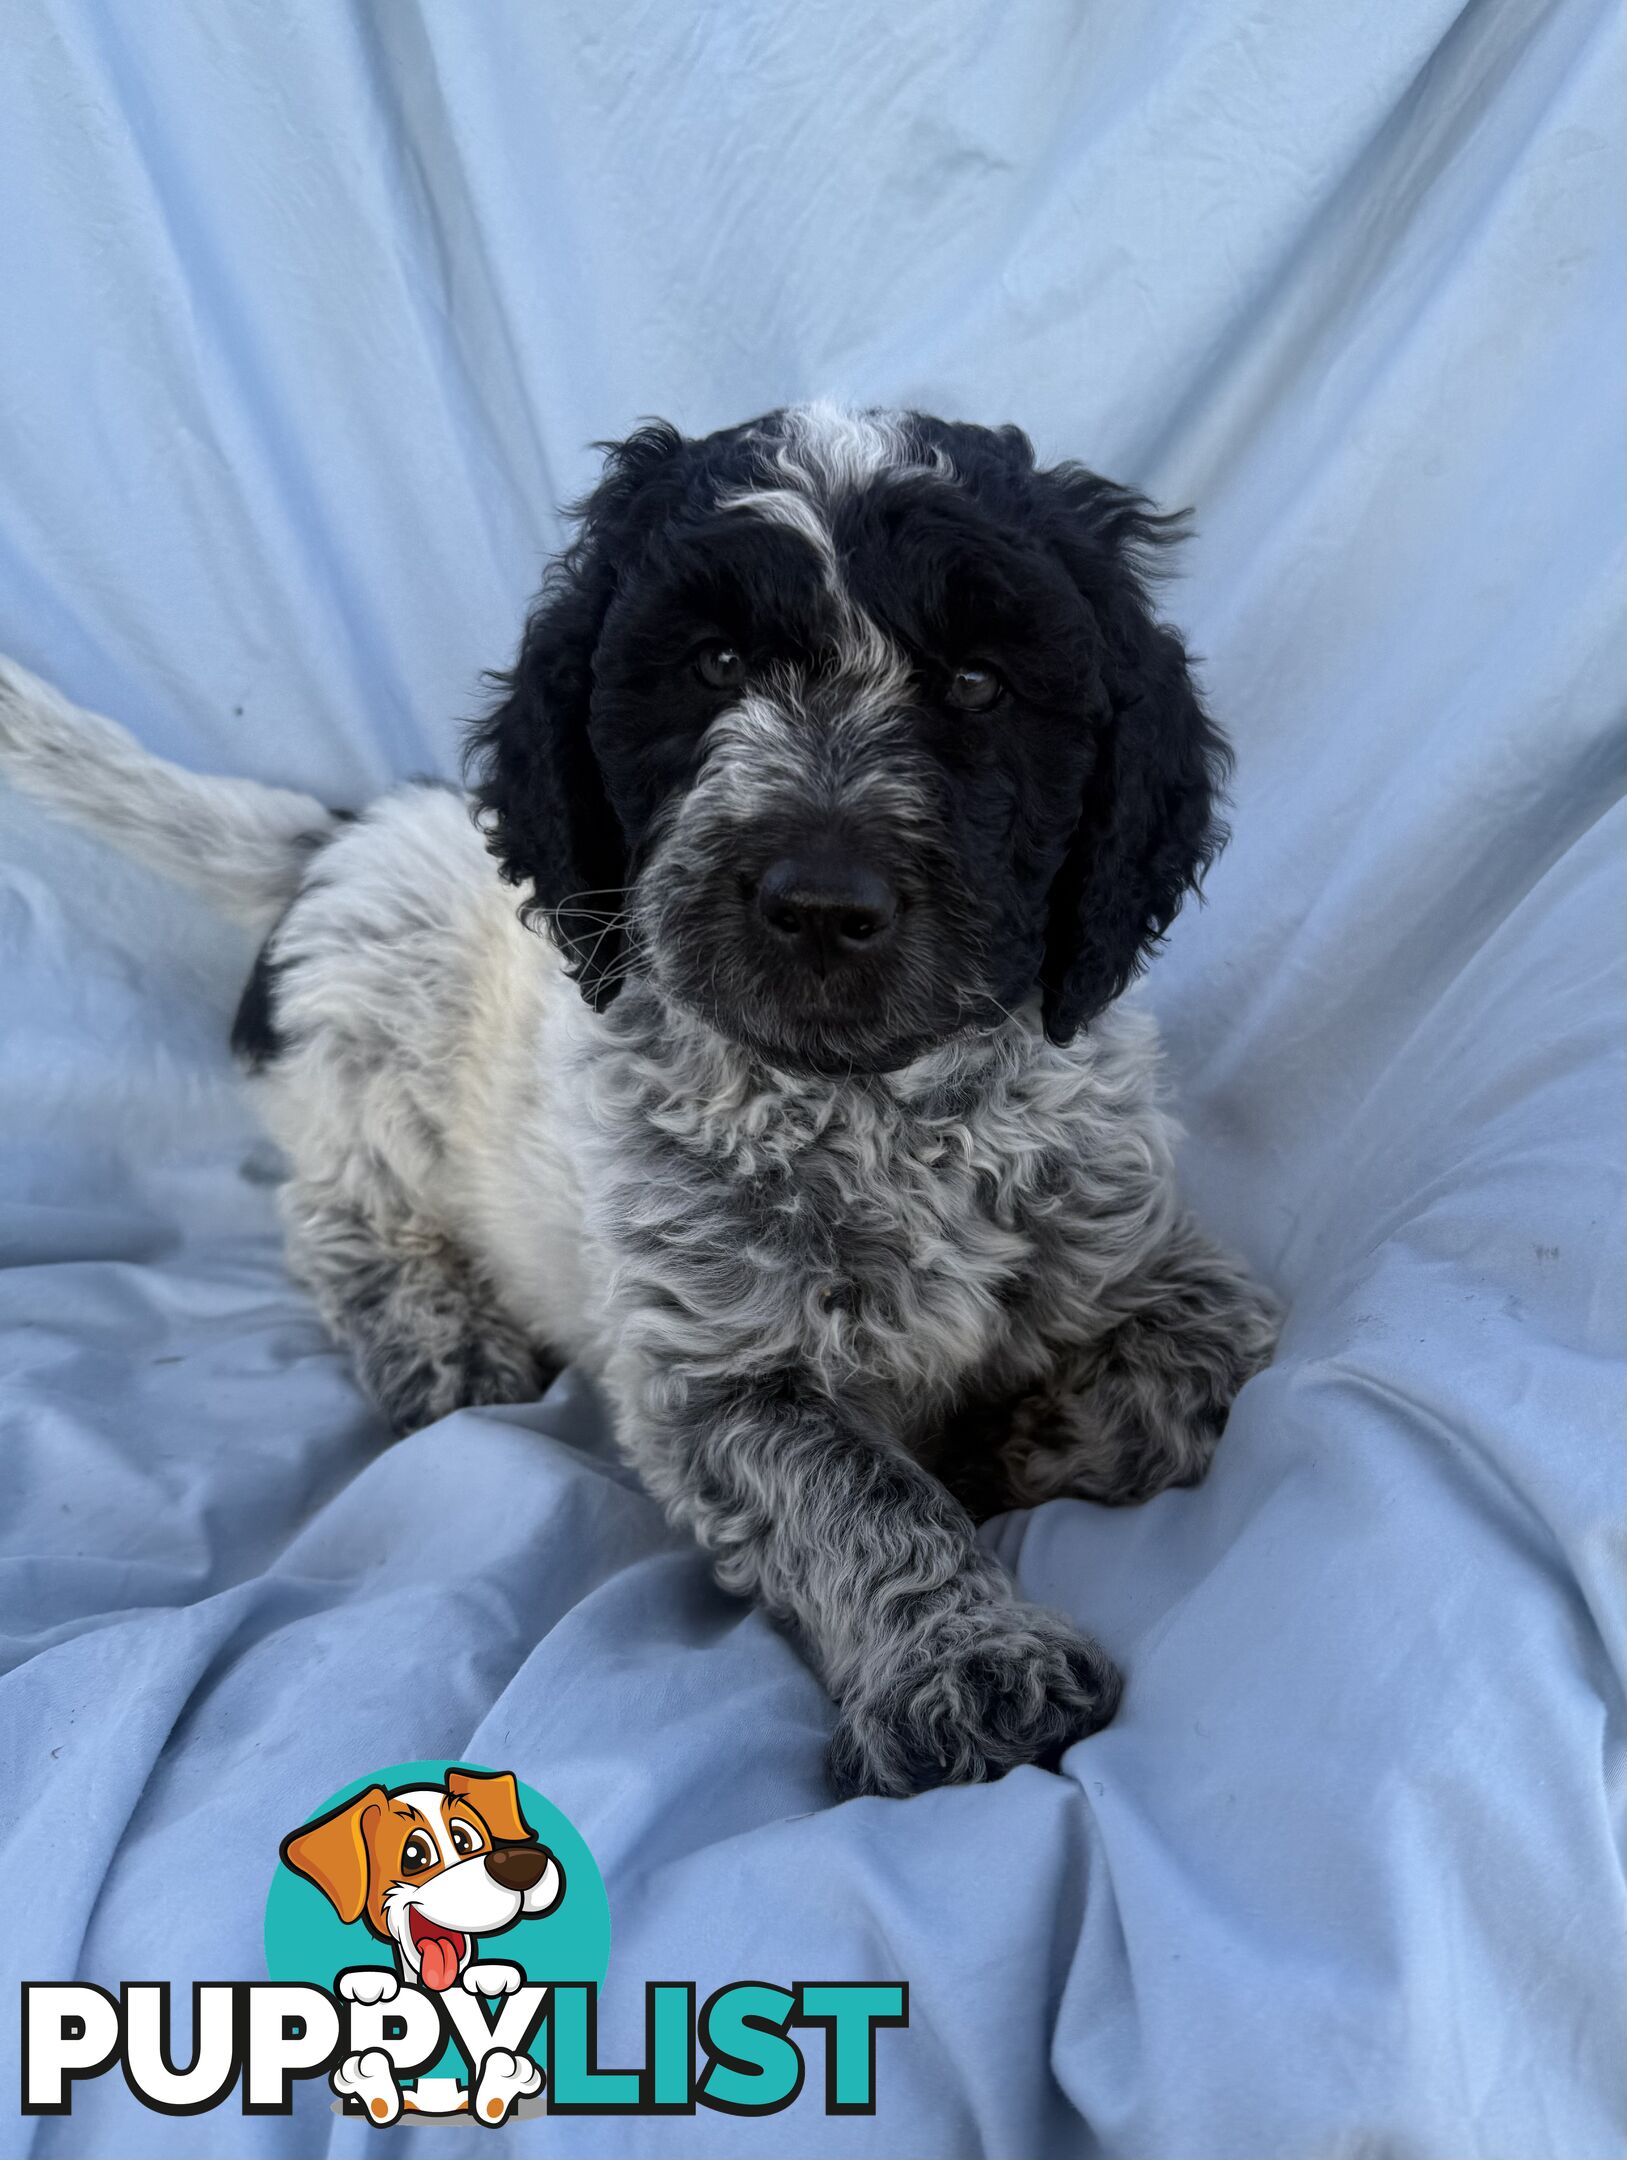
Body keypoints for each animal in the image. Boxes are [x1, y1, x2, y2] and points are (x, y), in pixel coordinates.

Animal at [0, 401, 1279, 1788]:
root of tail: (340, 834)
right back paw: (440, 1335)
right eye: (713, 664)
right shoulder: (717, 1379)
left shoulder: (1134, 1243)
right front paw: (970, 1664)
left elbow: (1207, 1355)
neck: (869, 1108)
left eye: (981, 687)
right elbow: (853, 1493)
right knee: (336, 1215)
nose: (818, 901)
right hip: (368, 1067)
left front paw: (1027, 1442)